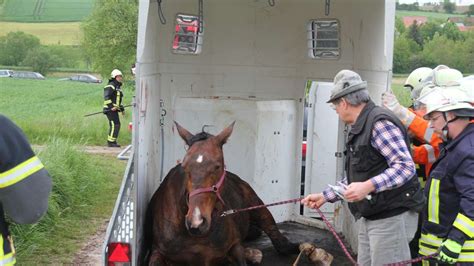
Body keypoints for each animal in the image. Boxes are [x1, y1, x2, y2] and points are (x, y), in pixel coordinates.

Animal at [144, 121, 298, 264]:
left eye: (217, 166)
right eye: (184, 166)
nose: (196, 222)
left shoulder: (234, 246)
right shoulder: (157, 252)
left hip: (257, 205)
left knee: (278, 240)